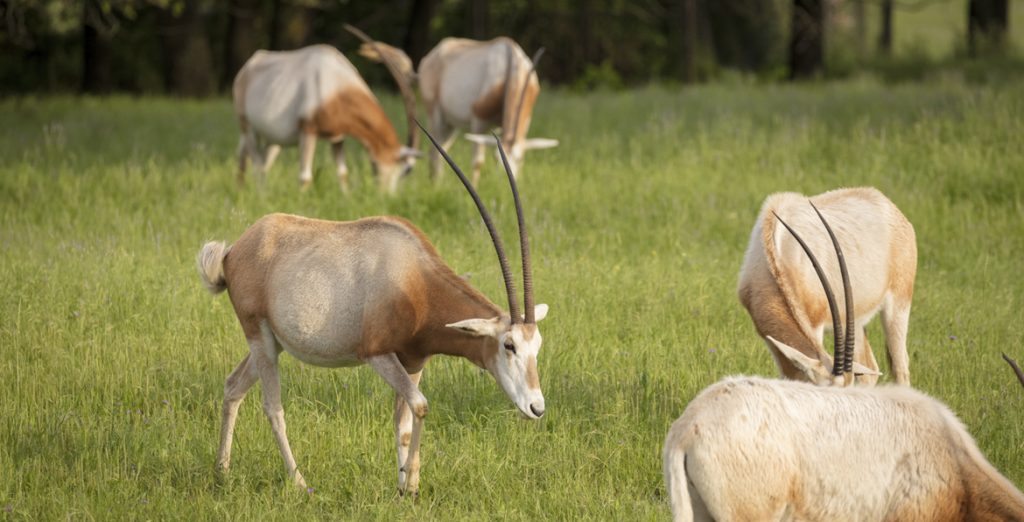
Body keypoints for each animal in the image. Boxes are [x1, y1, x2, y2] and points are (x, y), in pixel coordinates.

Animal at [200, 125, 552, 493]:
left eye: (537, 345)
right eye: (508, 345)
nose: (536, 407)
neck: (415, 280)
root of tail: (234, 252)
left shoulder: (413, 361)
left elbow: (404, 422)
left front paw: (403, 485)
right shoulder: (378, 354)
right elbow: (421, 406)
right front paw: (410, 484)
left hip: (272, 343)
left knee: (233, 386)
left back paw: (222, 471)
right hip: (260, 337)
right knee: (273, 407)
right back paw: (299, 482)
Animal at [234, 28, 417, 193]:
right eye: (406, 170)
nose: (387, 197)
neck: (337, 86)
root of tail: (250, 64)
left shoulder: (337, 137)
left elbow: (343, 173)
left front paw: (346, 199)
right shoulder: (308, 130)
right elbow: (305, 177)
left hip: (274, 139)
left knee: (258, 162)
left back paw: (250, 193)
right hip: (247, 126)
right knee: (255, 164)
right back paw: (258, 196)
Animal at [354, 32, 561, 183]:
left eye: (518, 160)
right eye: (497, 159)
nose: (503, 183)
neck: (510, 67)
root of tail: (430, 58)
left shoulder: (525, 121)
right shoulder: (479, 120)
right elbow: (477, 162)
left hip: (451, 125)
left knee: (441, 149)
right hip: (436, 114)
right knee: (434, 152)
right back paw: (435, 186)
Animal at [737, 186, 921, 382]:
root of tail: (887, 205)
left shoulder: (815, 324)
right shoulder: (769, 338)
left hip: (899, 305)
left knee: (900, 367)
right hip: (855, 320)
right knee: (869, 369)